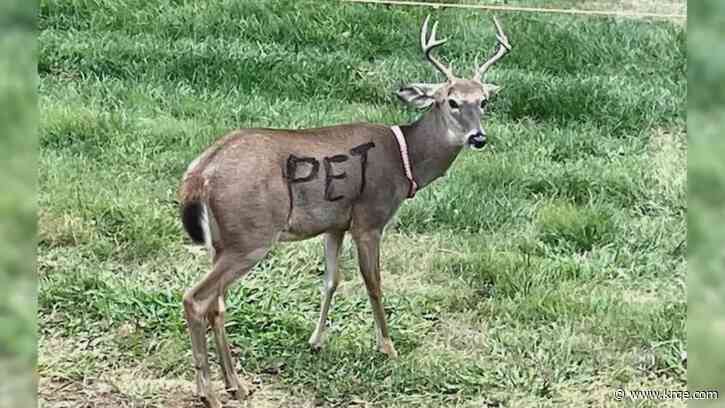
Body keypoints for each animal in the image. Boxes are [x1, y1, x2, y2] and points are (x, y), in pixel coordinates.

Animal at [177, 15, 511, 408]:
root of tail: (200, 173)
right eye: (451, 101)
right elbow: (374, 283)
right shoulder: (370, 218)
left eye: (484, 100)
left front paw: (316, 341)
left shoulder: (335, 223)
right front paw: (387, 347)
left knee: (216, 304)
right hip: (251, 235)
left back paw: (235, 385)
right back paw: (207, 393)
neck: (406, 161)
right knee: (196, 298)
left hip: (221, 241)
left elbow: (331, 280)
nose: (478, 137)